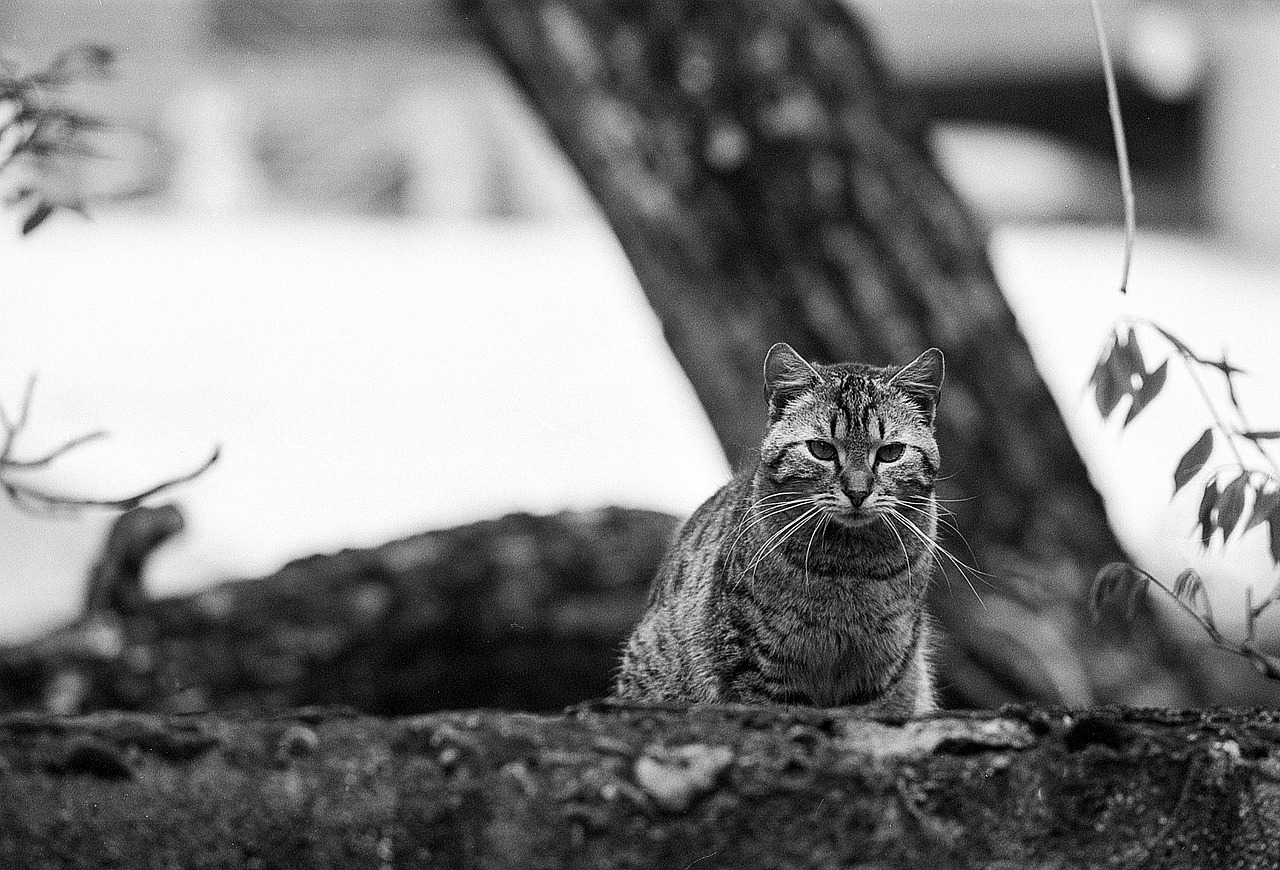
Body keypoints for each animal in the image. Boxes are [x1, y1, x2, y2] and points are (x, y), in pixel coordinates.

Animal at [614, 340, 947, 711]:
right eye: (821, 449)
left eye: (890, 453)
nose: (858, 492)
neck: (849, 567)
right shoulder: (757, 664)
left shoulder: (883, 672)